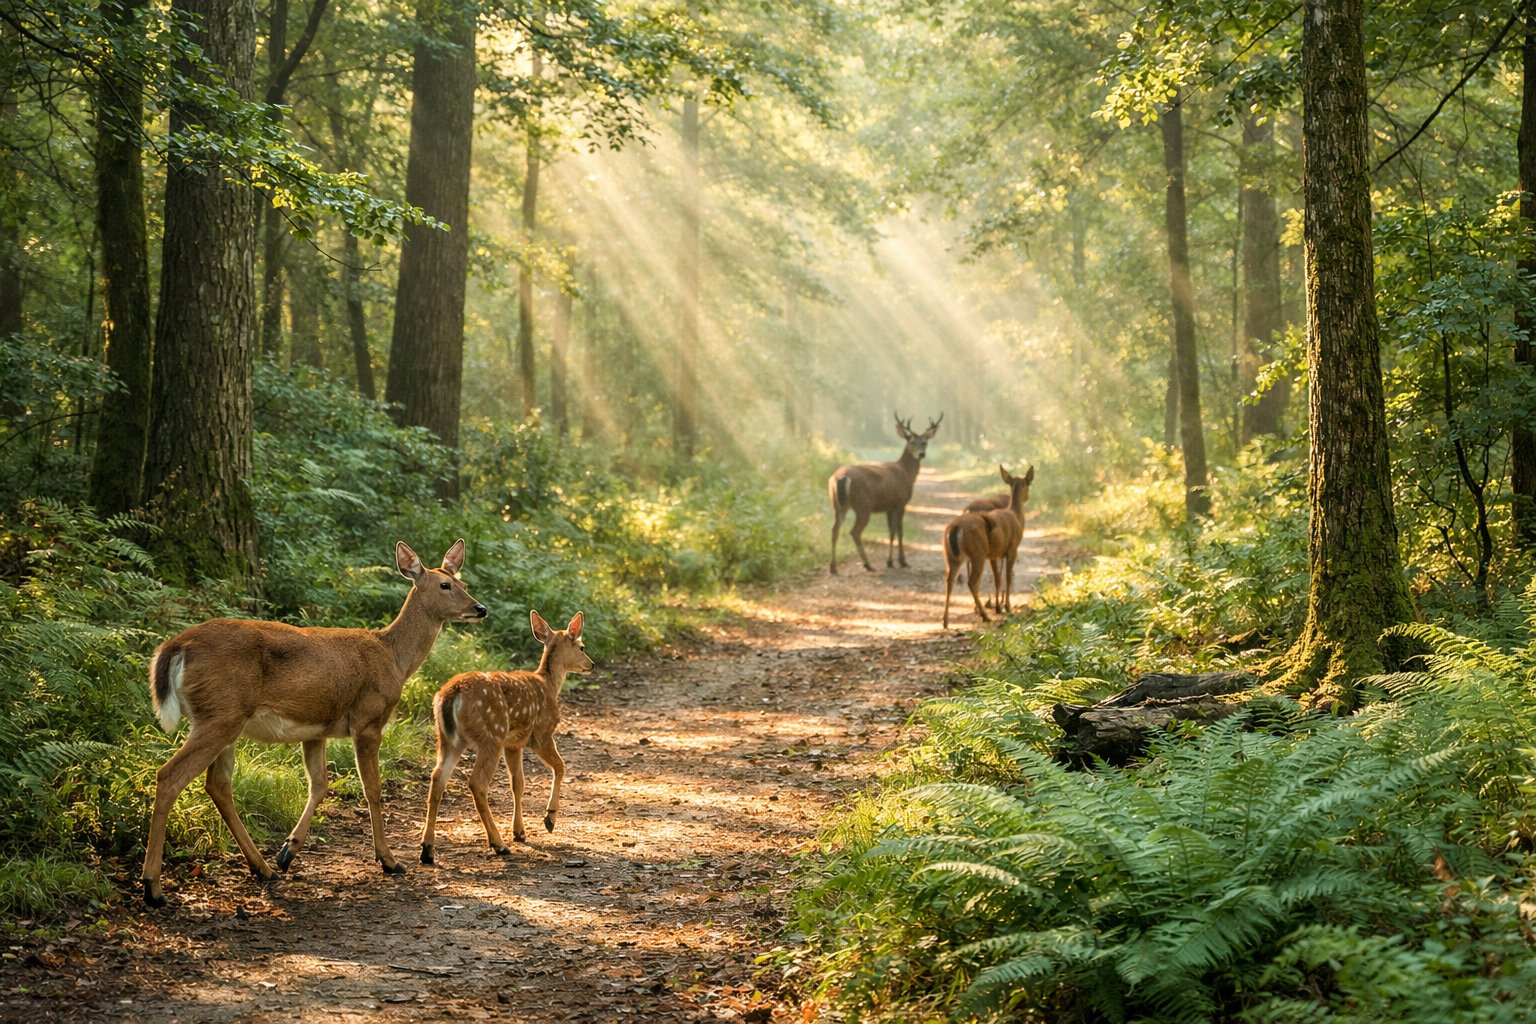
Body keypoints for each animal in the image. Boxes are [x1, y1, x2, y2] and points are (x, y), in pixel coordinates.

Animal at [140, 540, 486, 907]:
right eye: (445, 585)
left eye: (463, 582)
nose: (480, 608)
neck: (394, 657)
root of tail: (175, 646)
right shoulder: (368, 720)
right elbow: (373, 789)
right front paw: (389, 860)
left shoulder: (317, 729)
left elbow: (319, 784)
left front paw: (287, 852)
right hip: (220, 715)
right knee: (170, 775)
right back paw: (153, 887)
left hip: (222, 719)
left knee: (217, 785)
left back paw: (262, 868)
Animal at [419, 610, 593, 865]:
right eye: (581, 647)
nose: (592, 664)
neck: (549, 684)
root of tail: (452, 694)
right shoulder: (541, 734)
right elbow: (560, 766)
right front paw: (549, 819)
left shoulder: (514, 744)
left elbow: (518, 784)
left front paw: (519, 832)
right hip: (492, 735)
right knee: (477, 783)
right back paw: (498, 844)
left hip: (449, 739)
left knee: (437, 778)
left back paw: (427, 849)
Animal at [828, 412, 943, 574]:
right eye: (912, 441)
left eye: (925, 442)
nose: (921, 454)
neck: (906, 473)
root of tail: (841, 477)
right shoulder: (901, 502)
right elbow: (899, 530)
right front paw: (900, 561)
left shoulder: (889, 506)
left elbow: (891, 531)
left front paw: (891, 561)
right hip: (863, 505)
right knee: (855, 531)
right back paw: (868, 565)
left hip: (837, 504)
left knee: (834, 529)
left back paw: (833, 567)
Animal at [942, 466, 1032, 628]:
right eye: (1027, 484)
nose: (1027, 497)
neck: (1016, 516)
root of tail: (955, 528)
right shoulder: (1012, 549)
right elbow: (1007, 577)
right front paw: (1007, 607)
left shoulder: (994, 554)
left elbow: (997, 578)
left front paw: (998, 607)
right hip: (977, 553)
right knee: (972, 582)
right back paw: (984, 615)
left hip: (952, 555)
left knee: (950, 580)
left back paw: (946, 621)